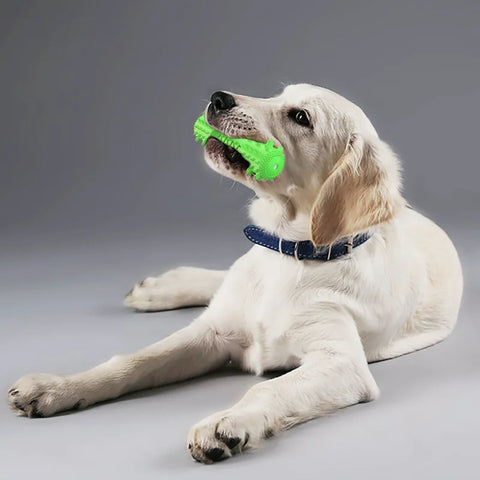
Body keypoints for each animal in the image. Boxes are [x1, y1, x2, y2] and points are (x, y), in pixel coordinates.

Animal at [7, 84, 464, 464]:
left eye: (301, 116)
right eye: (279, 94)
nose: (218, 97)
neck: (288, 254)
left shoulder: (343, 363)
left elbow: (268, 386)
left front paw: (227, 423)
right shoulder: (211, 334)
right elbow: (133, 361)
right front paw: (58, 387)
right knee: (219, 280)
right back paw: (160, 288)